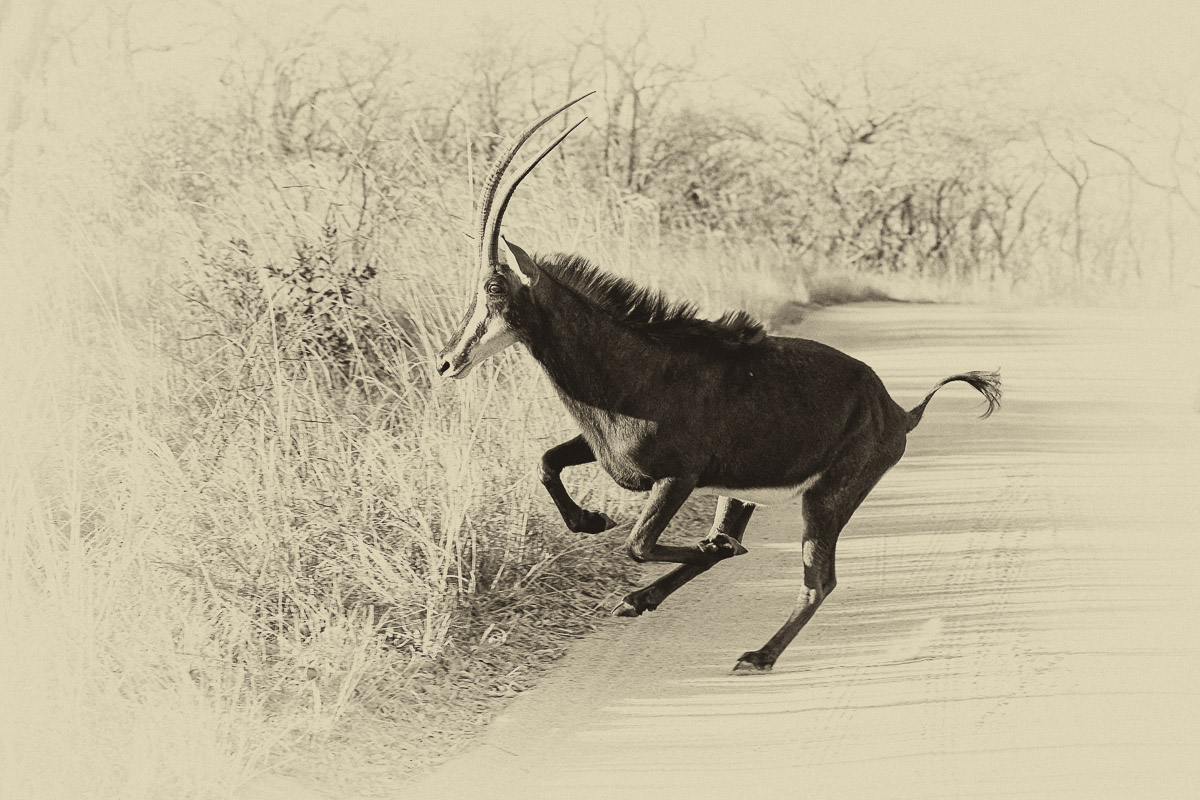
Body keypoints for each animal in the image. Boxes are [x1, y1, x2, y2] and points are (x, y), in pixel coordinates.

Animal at [436, 95, 1001, 672]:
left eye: (494, 286)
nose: (447, 361)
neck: (636, 361)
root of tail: (899, 412)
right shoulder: (613, 453)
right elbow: (547, 462)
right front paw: (591, 521)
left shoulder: (678, 477)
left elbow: (639, 543)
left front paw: (653, 544)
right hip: (746, 493)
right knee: (761, 554)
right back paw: (649, 598)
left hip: (827, 499)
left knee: (818, 580)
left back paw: (757, 654)